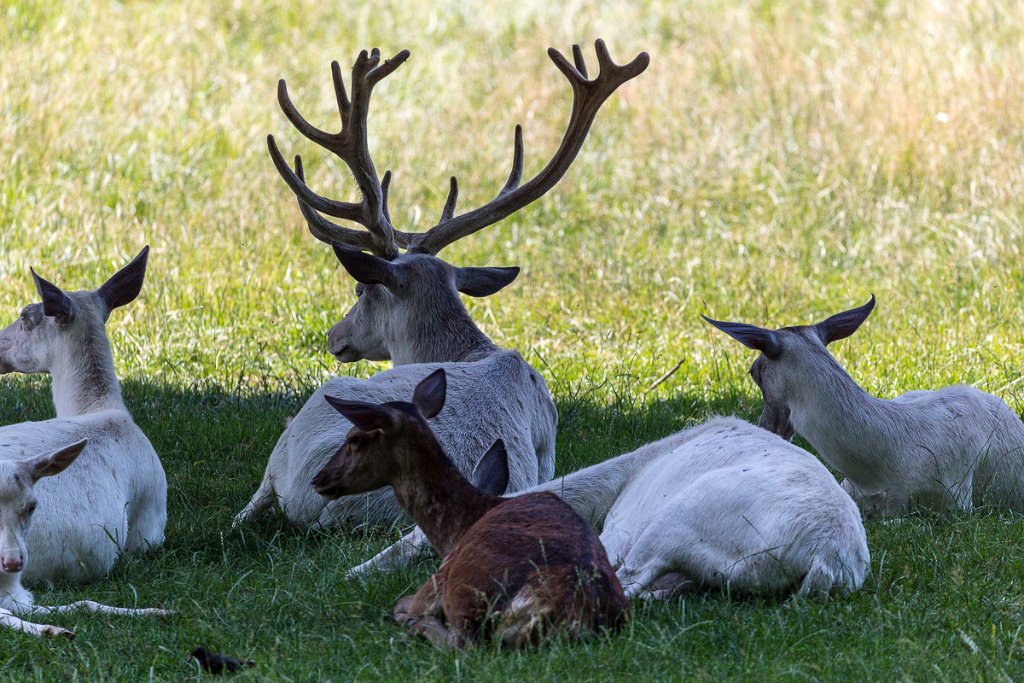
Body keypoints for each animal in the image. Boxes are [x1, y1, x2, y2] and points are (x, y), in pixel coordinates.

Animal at [311, 370, 630, 651]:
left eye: (354, 438)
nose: (319, 478)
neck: (458, 525)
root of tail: (569, 615)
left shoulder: (437, 579)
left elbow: (402, 604)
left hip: (468, 594)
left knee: (463, 643)